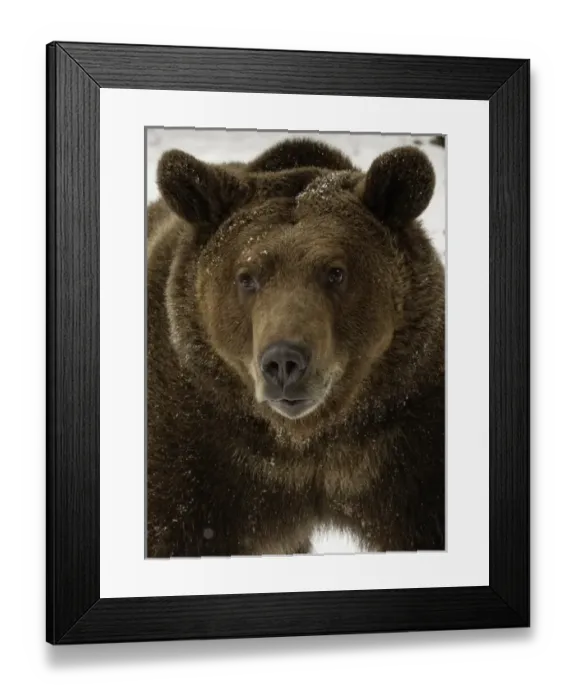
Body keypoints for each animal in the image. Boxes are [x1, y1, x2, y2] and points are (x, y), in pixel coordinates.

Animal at [146, 137, 445, 557]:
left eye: (335, 272)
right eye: (247, 276)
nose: (284, 362)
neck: (302, 444)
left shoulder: (406, 435)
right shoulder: (196, 442)